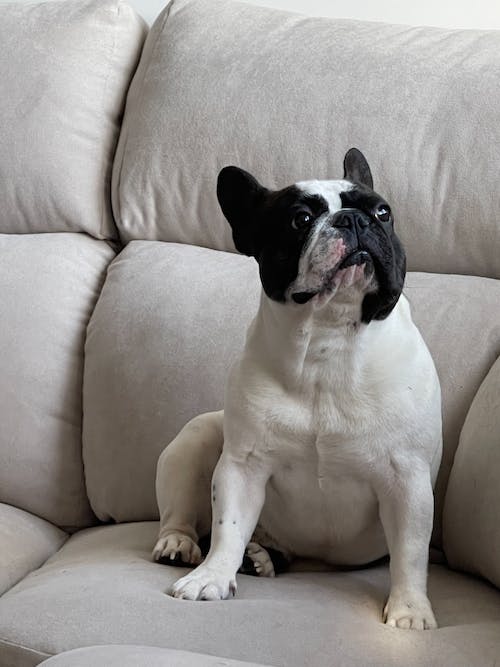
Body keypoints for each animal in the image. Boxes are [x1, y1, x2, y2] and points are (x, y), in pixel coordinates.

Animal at [153, 147, 442, 632]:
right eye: (300, 219)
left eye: (383, 212)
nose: (353, 219)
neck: (328, 339)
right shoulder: (243, 466)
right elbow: (228, 526)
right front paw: (212, 577)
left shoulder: (408, 477)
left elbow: (410, 552)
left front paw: (410, 611)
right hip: (195, 438)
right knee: (183, 514)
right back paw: (185, 546)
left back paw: (261, 558)